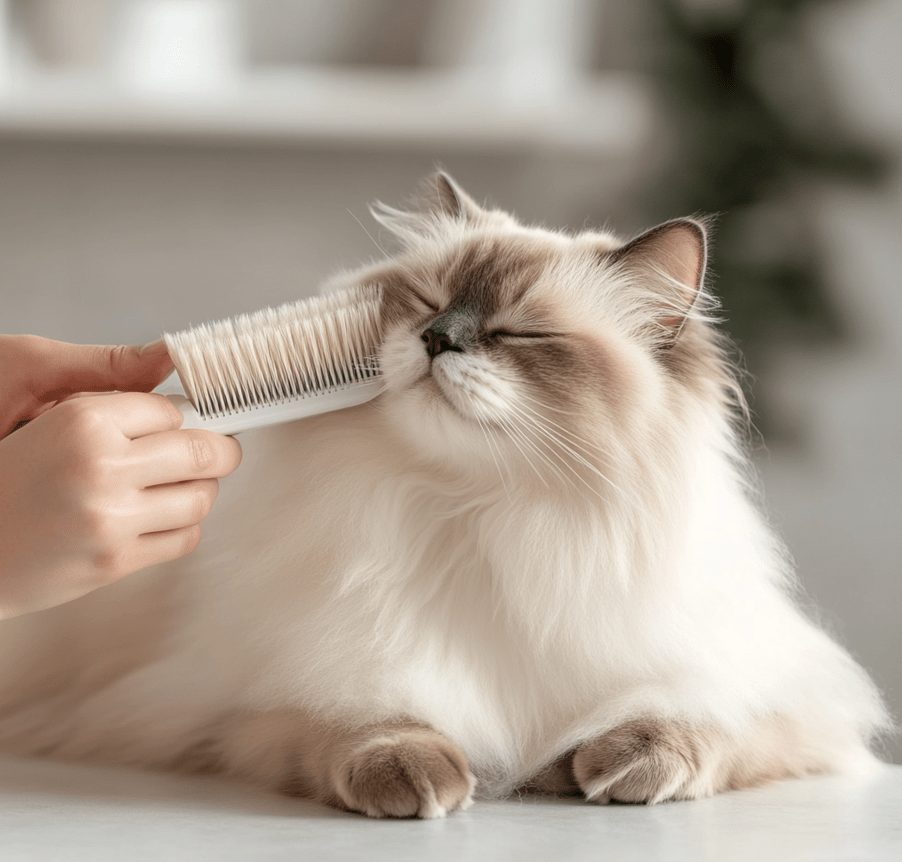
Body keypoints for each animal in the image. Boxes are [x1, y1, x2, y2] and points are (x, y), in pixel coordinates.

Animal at [0, 170, 888, 824]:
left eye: (521, 333)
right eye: (428, 303)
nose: (436, 339)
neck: (479, 515)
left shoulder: (797, 703)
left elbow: (699, 723)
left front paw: (617, 767)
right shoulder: (229, 709)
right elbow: (362, 719)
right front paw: (415, 777)